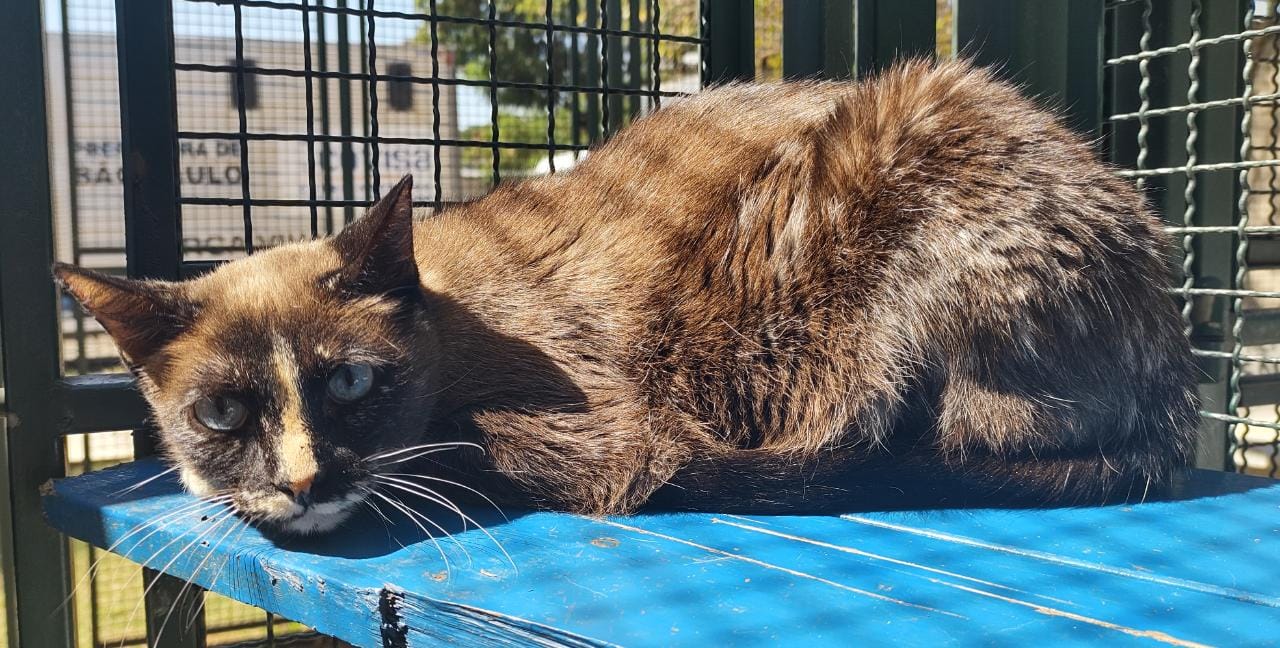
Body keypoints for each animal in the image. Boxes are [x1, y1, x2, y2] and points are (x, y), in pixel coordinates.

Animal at [55, 62, 1198, 537]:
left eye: (349, 384)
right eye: (220, 413)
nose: (300, 482)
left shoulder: (607, 439)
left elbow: (482, 458)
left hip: (887, 162)